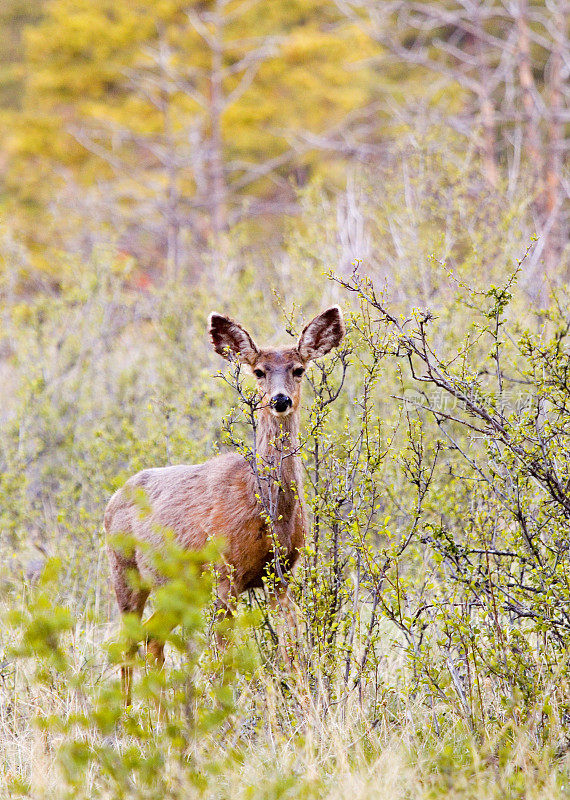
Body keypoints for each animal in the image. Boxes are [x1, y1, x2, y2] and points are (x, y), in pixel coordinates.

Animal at [104, 304, 344, 700]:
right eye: (259, 371)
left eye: (298, 369)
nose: (280, 400)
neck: (266, 510)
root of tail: (114, 498)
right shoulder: (224, 572)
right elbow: (222, 658)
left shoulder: (281, 575)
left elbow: (292, 651)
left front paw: (307, 704)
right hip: (125, 571)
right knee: (128, 642)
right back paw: (125, 712)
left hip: (176, 588)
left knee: (153, 638)